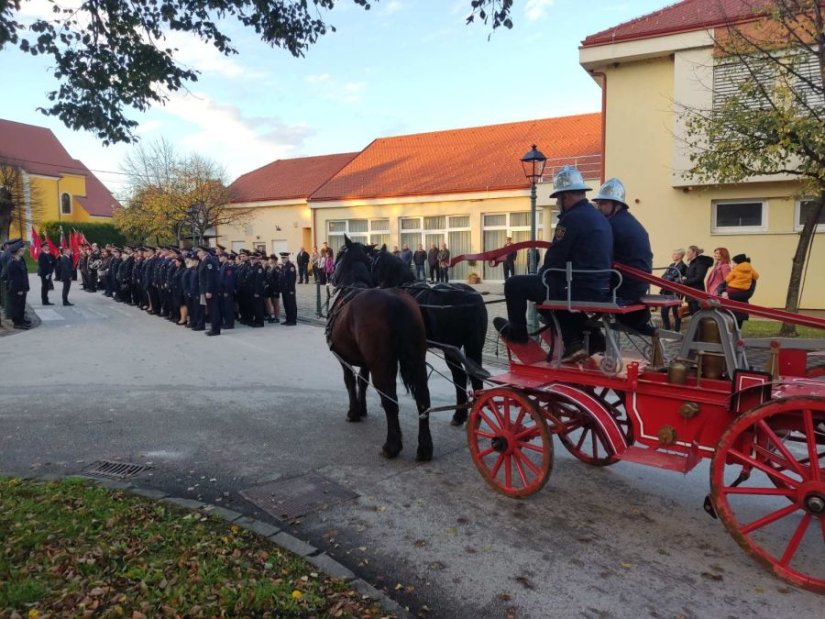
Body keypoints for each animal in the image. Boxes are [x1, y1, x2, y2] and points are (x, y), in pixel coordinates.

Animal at [326, 237, 434, 460]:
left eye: (339, 253)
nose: (330, 275)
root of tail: (396, 301)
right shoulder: (364, 361)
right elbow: (362, 381)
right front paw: (362, 409)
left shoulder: (343, 357)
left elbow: (350, 382)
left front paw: (353, 411)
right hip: (417, 361)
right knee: (423, 398)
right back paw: (425, 447)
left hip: (382, 365)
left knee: (390, 401)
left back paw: (392, 445)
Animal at [370, 247, 486, 426]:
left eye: (373, 264)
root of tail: (470, 297)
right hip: (473, 345)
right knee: (472, 377)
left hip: (451, 349)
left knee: (459, 376)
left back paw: (461, 415)